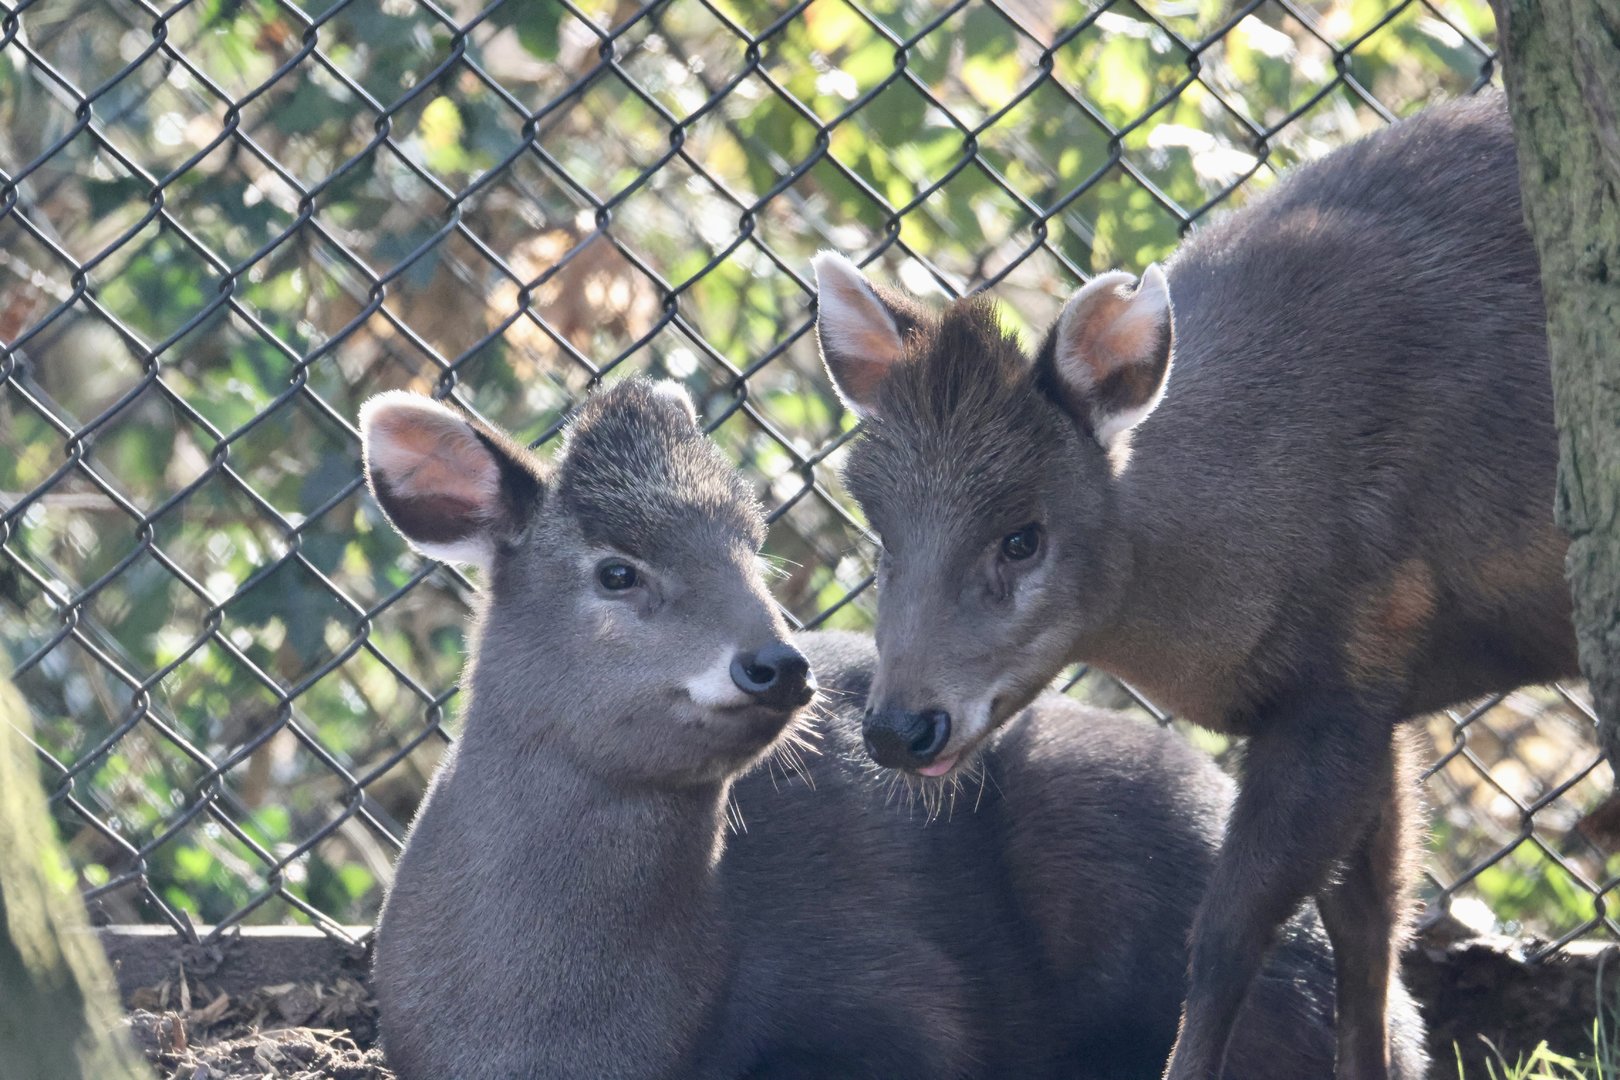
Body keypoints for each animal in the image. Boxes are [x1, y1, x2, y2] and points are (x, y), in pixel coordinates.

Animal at [814, 91, 1575, 1080]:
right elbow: (1370, 926)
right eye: (880, 533)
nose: (899, 729)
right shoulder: (1378, 693)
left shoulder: (1341, 682)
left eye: (1022, 538)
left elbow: (1225, 938)